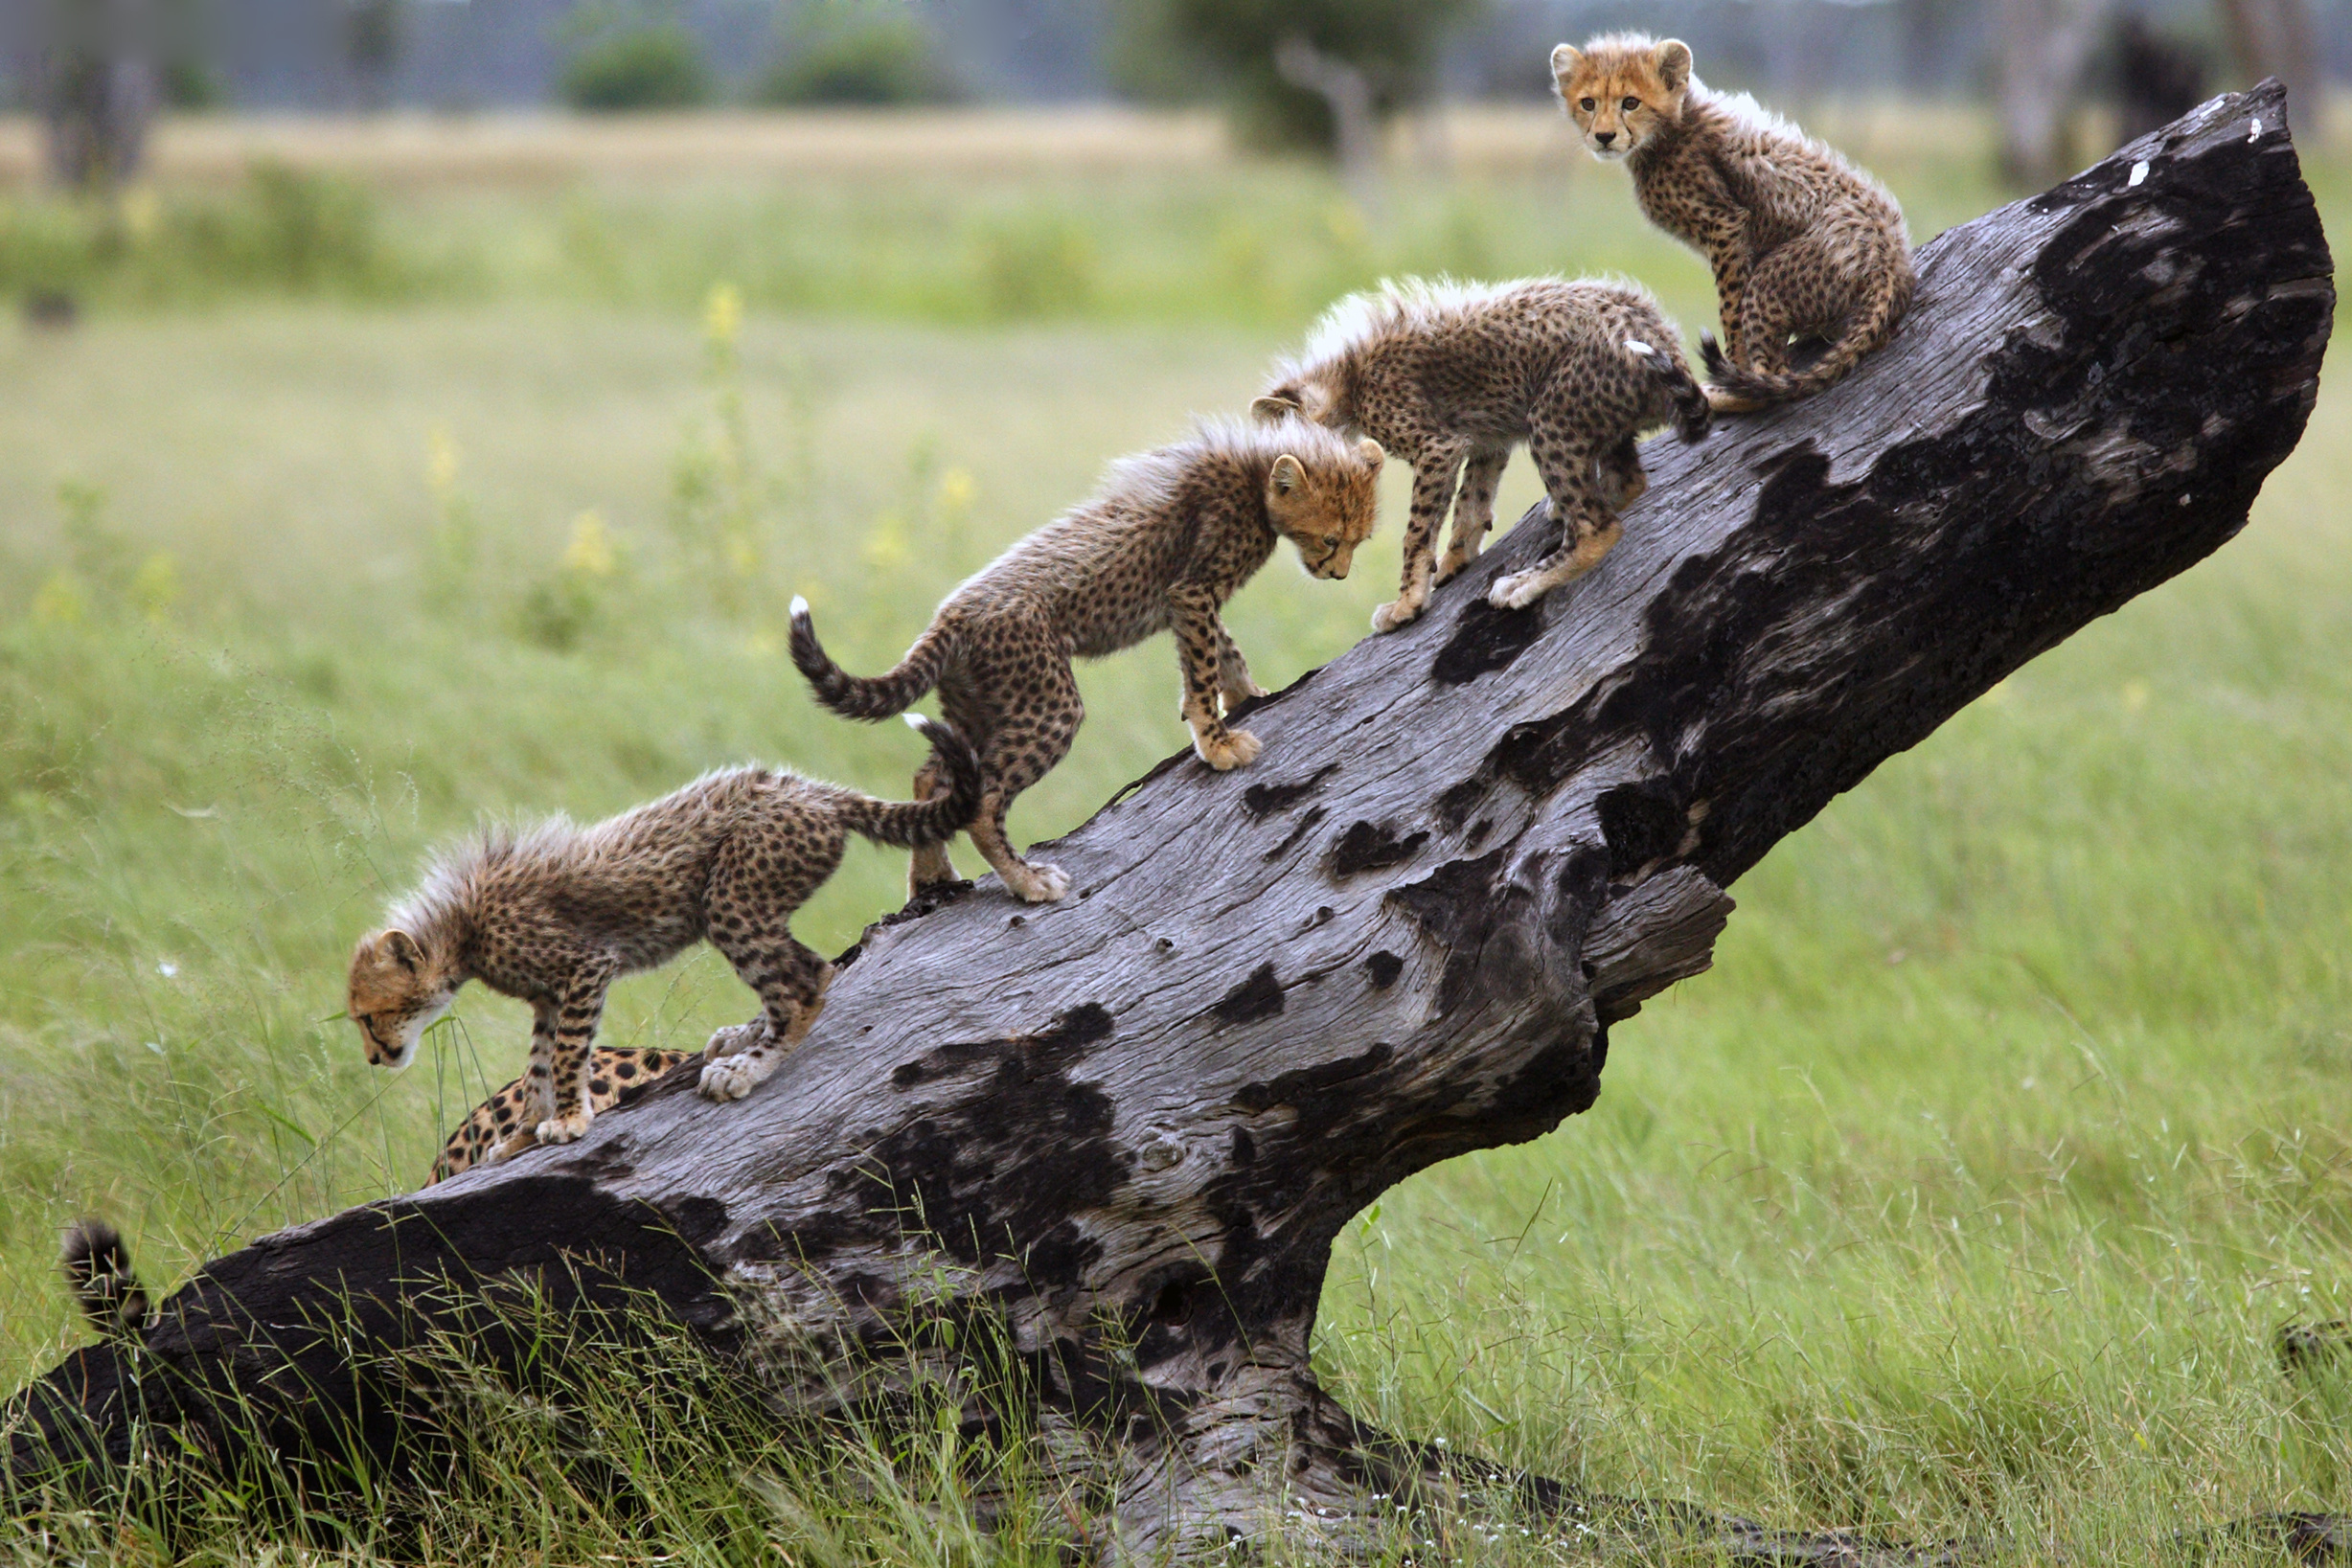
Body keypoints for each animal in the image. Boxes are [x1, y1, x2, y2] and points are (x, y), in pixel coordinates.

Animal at [348, 714, 980, 1151]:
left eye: (368, 1016)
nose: (375, 1060)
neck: (462, 929)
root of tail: (809, 788)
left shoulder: (585, 967)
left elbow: (568, 1054)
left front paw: (570, 1119)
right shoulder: (548, 997)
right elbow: (537, 1067)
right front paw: (525, 1132)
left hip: (731, 898)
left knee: (805, 981)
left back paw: (747, 1067)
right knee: (806, 970)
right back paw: (744, 1035)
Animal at [786, 415, 1383, 905]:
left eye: (1360, 539)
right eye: (1330, 539)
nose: (1339, 574)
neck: (1255, 475)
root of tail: (951, 613)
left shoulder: (1188, 600)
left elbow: (1223, 647)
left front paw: (1245, 695)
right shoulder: (1192, 590)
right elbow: (1203, 662)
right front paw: (1217, 742)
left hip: (978, 704)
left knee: (934, 776)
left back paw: (931, 876)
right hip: (1047, 704)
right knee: (982, 801)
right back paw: (1026, 880)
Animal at [1254, 275, 1710, 625]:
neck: (1347, 376)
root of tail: (1657, 331)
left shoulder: (1437, 447)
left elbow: (1417, 531)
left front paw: (1407, 603)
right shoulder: (1486, 439)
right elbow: (1471, 501)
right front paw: (1453, 562)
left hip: (1551, 418)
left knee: (1598, 527)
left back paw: (1524, 582)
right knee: (1628, 482)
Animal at [1552, 34, 1915, 412]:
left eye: (1631, 102)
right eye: (1588, 103)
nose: (1604, 136)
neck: (1671, 128)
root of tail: (1891, 261)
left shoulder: (1725, 224)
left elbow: (1731, 309)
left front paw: (1734, 362)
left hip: (1776, 278)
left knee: (1772, 376)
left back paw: (1724, 394)